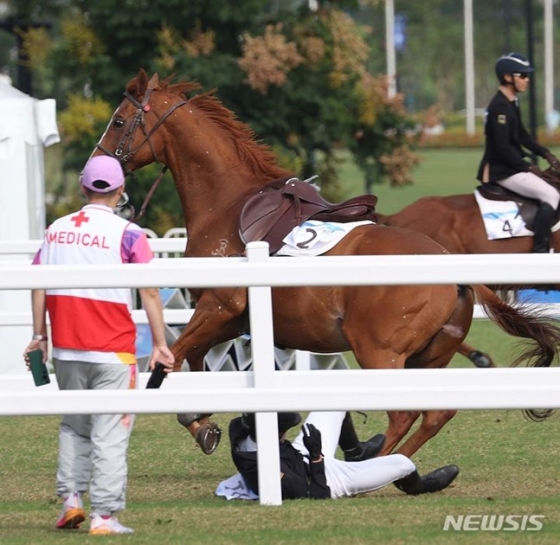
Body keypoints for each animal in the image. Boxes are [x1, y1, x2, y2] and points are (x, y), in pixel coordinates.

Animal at [93, 67, 560, 460]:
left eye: (118, 121)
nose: (97, 170)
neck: (225, 204)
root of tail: (451, 269)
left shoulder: (218, 308)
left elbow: (173, 357)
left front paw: (194, 418)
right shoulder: (227, 319)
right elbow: (191, 360)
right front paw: (202, 421)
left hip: (377, 352)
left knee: (404, 414)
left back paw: (368, 470)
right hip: (425, 358)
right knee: (434, 415)